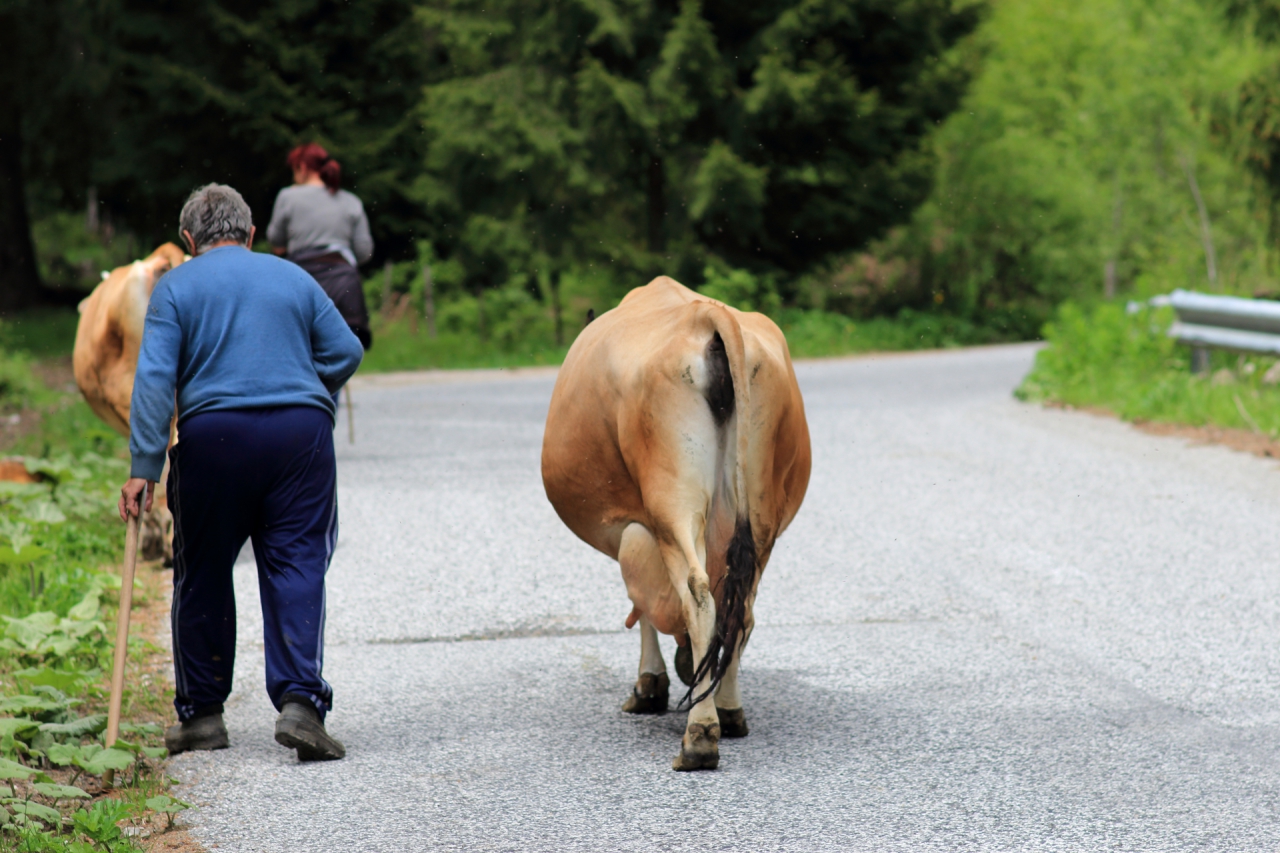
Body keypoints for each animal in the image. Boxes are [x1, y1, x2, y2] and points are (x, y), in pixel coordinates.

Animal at [540, 275, 808, 768]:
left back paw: (699, 736)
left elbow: (642, 603)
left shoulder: (634, 527)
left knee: (699, 595)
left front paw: (649, 686)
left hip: (673, 502)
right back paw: (730, 711)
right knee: (741, 606)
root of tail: (707, 315)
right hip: (761, 511)